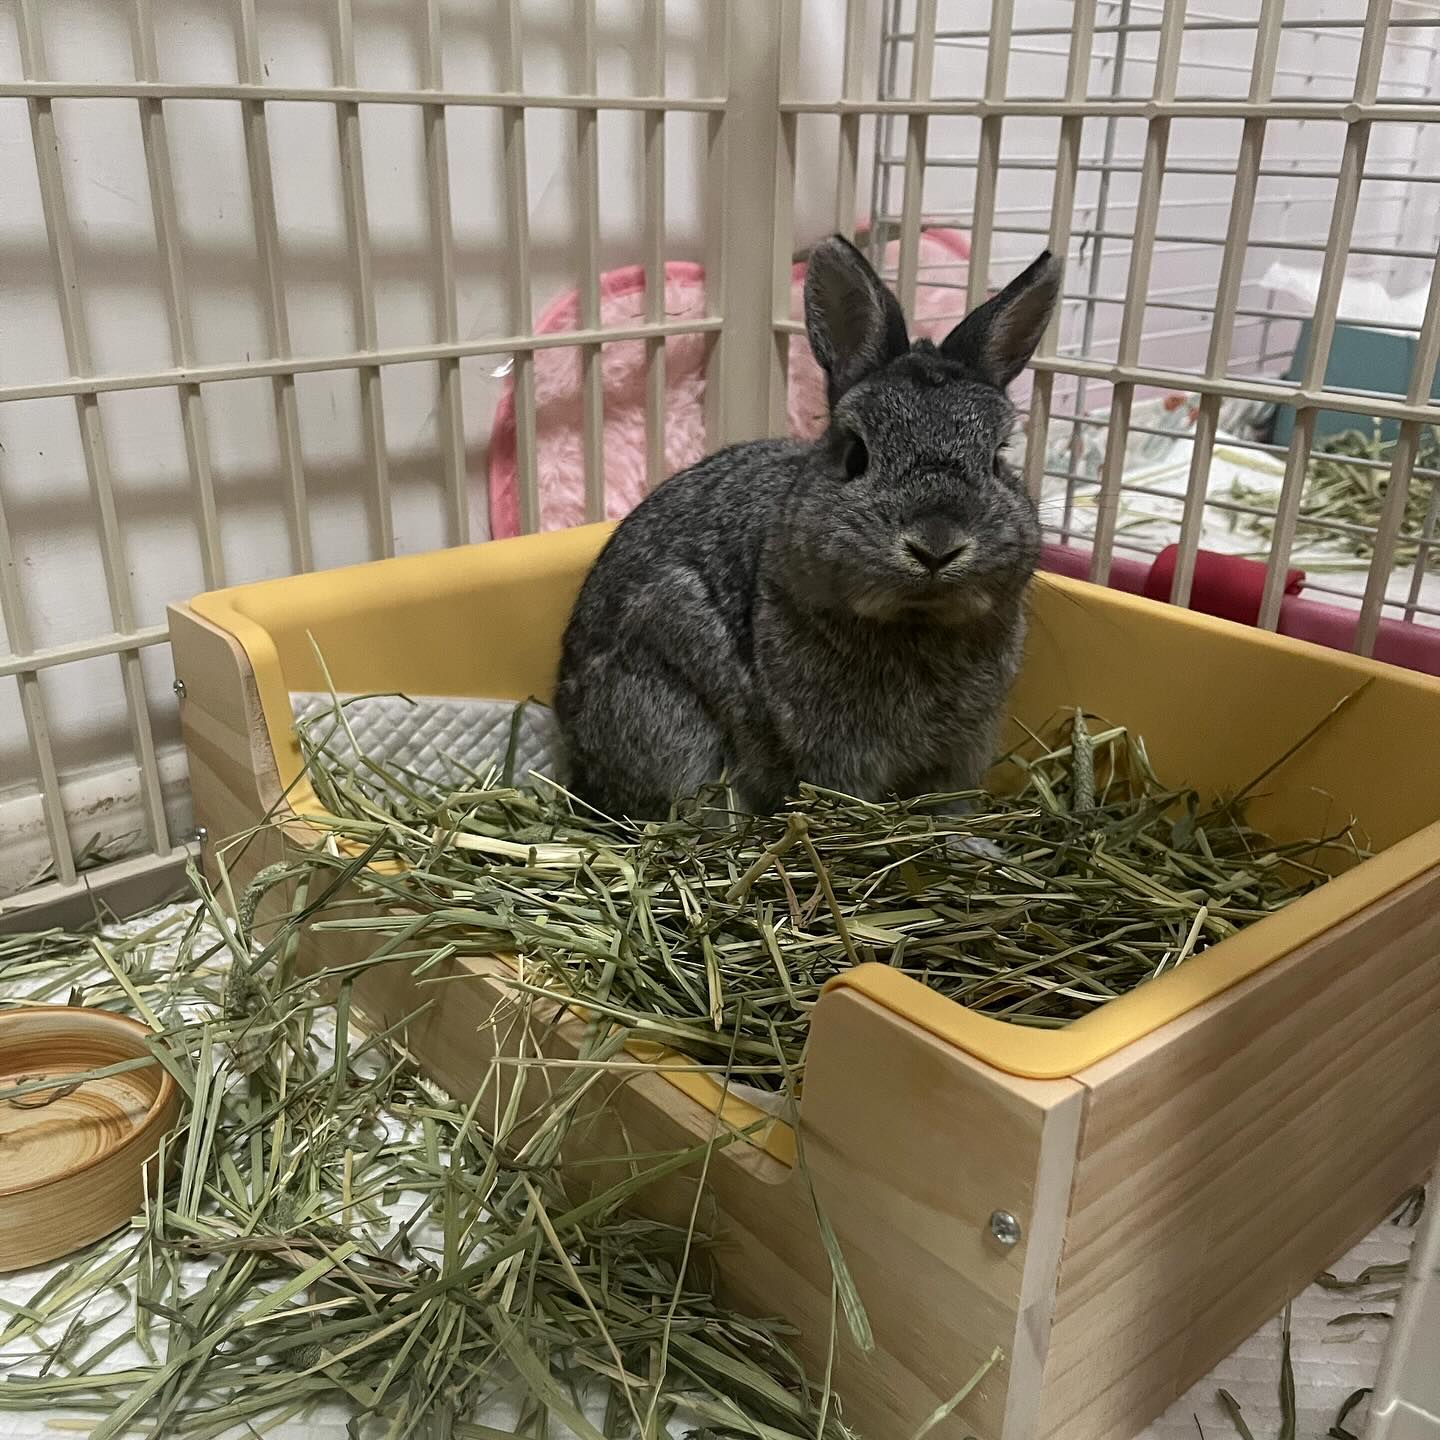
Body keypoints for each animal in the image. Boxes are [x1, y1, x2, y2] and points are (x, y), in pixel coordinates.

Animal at [553, 234, 1062, 823]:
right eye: (856, 454)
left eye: (998, 458)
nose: (936, 545)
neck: (915, 622)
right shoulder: (835, 748)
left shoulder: (962, 749)